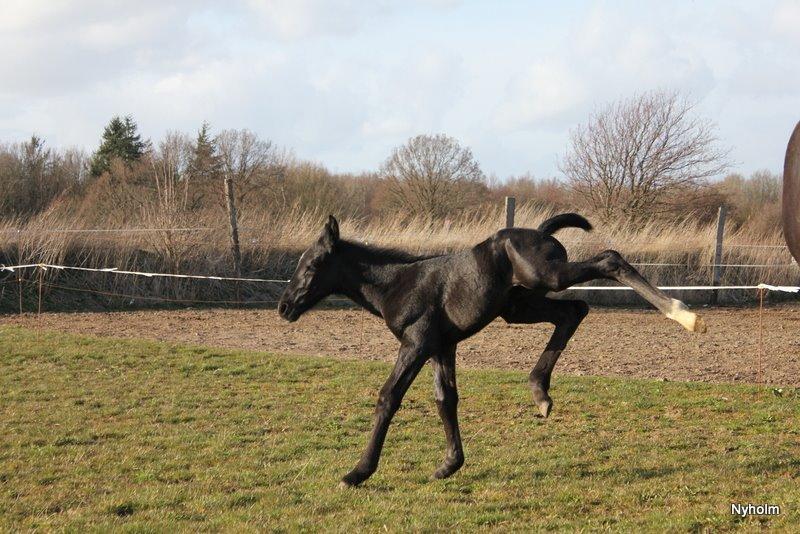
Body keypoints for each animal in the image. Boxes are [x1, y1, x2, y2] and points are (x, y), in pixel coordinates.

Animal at [278, 216, 704, 488]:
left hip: (546, 278)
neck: (399, 283)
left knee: (609, 260)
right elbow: (445, 400)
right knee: (574, 311)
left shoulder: (416, 343)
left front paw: (358, 472)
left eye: (312, 264)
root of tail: (540, 232)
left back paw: (684, 314)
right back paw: (540, 392)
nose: (284, 307)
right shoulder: (442, 346)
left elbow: (389, 397)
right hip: (519, 306)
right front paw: (449, 464)